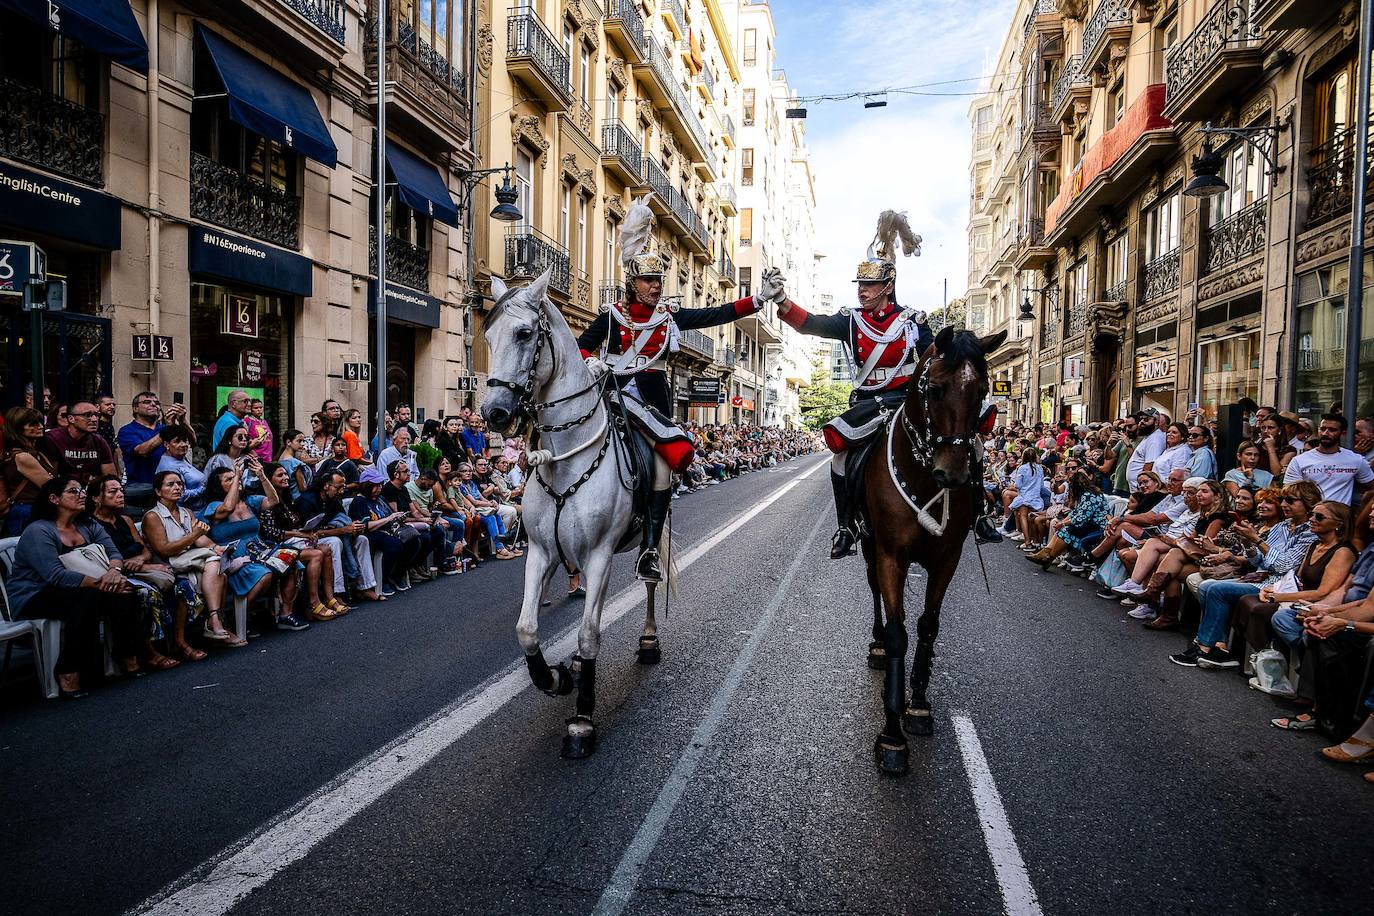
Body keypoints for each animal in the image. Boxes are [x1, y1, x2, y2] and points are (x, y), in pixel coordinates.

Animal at [483, 265, 670, 758]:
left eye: (525, 333)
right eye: (487, 336)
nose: (494, 413)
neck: (564, 457)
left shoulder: (600, 554)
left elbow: (588, 634)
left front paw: (582, 719)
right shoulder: (541, 552)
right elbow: (527, 629)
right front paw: (554, 678)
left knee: (648, 580)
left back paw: (648, 640)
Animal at [862, 325, 1005, 780]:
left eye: (982, 391)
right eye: (937, 389)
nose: (954, 474)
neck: (924, 479)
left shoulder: (947, 560)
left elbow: (926, 628)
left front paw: (919, 705)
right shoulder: (890, 555)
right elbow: (897, 634)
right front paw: (892, 736)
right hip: (868, 546)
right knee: (875, 593)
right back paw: (874, 646)